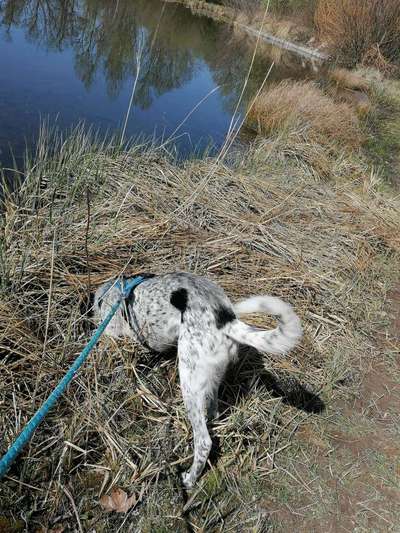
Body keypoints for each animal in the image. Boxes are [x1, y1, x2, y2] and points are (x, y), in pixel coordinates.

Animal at [94, 272, 300, 488]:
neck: (117, 292)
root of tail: (225, 319)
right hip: (209, 379)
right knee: (213, 412)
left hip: (189, 383)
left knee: (203, 442)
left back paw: (190, 478)